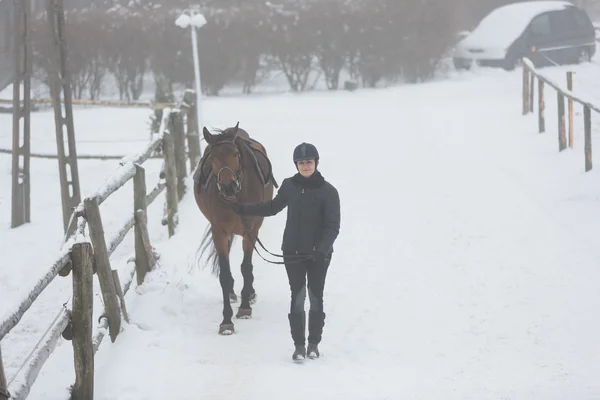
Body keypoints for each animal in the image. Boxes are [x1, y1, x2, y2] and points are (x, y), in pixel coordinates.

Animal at [193, 122, 278, 334]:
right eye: (212, 157)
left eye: (235, 154)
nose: (228, 186)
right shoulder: (219, 231)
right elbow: (224, 273)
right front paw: (226, 320)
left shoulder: (251, 230)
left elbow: (246, 267)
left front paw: (245, 307)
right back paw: (232, 293)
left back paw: (249, 293)